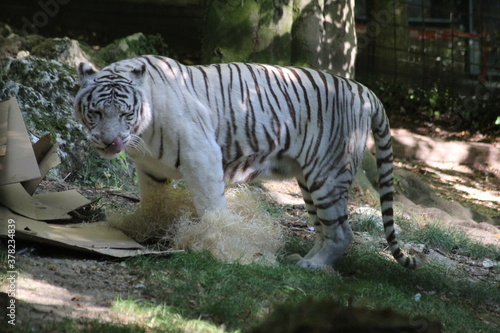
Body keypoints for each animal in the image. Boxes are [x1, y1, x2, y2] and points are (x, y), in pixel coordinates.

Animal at [75, 53, 426, 268]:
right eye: (96, 112)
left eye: (125, 113)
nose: (110, 141)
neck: (142, 131)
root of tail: (364, 89)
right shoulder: (149, 168)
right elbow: (152, 201)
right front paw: (145, 227)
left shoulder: (201, 152)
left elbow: (211, 206)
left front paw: (215, 241)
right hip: (310, 181)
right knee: (326, 229)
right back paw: (298, 258)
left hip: (327, 175)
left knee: (342, 233)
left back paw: (311, 265)